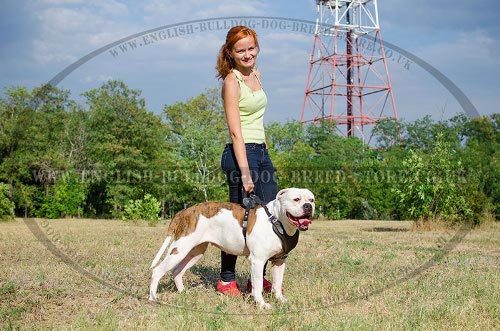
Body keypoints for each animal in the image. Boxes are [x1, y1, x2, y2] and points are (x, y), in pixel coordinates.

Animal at [146, 188, 314, 310]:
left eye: (311, 199)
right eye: (296, 199)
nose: (308, 206)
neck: (276, 220)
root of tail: (184, 211)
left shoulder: (279, 261)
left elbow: (278, 283)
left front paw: (281, 299)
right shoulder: (257, 261)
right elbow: (258, 285)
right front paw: (261, 304)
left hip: (194, 252)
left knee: (177, 271)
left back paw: (183, 292)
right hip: (180, 249)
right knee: (158, 271)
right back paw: (153, 298)